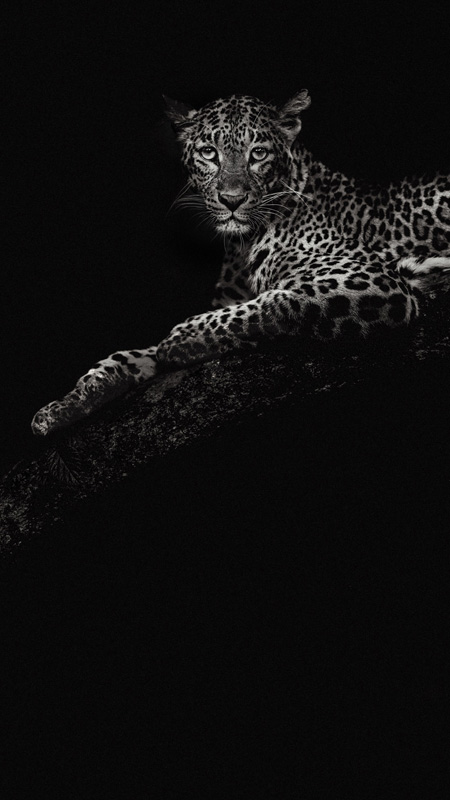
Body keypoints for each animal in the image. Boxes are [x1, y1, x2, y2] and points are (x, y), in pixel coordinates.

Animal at [31, 90, 450, 436]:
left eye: (258, 154)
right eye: (209, 153)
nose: (232, 200)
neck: (242, 243)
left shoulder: (371, 279)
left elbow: (269, 304)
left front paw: (180, 338)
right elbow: (134, 356)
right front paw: (63, 407)